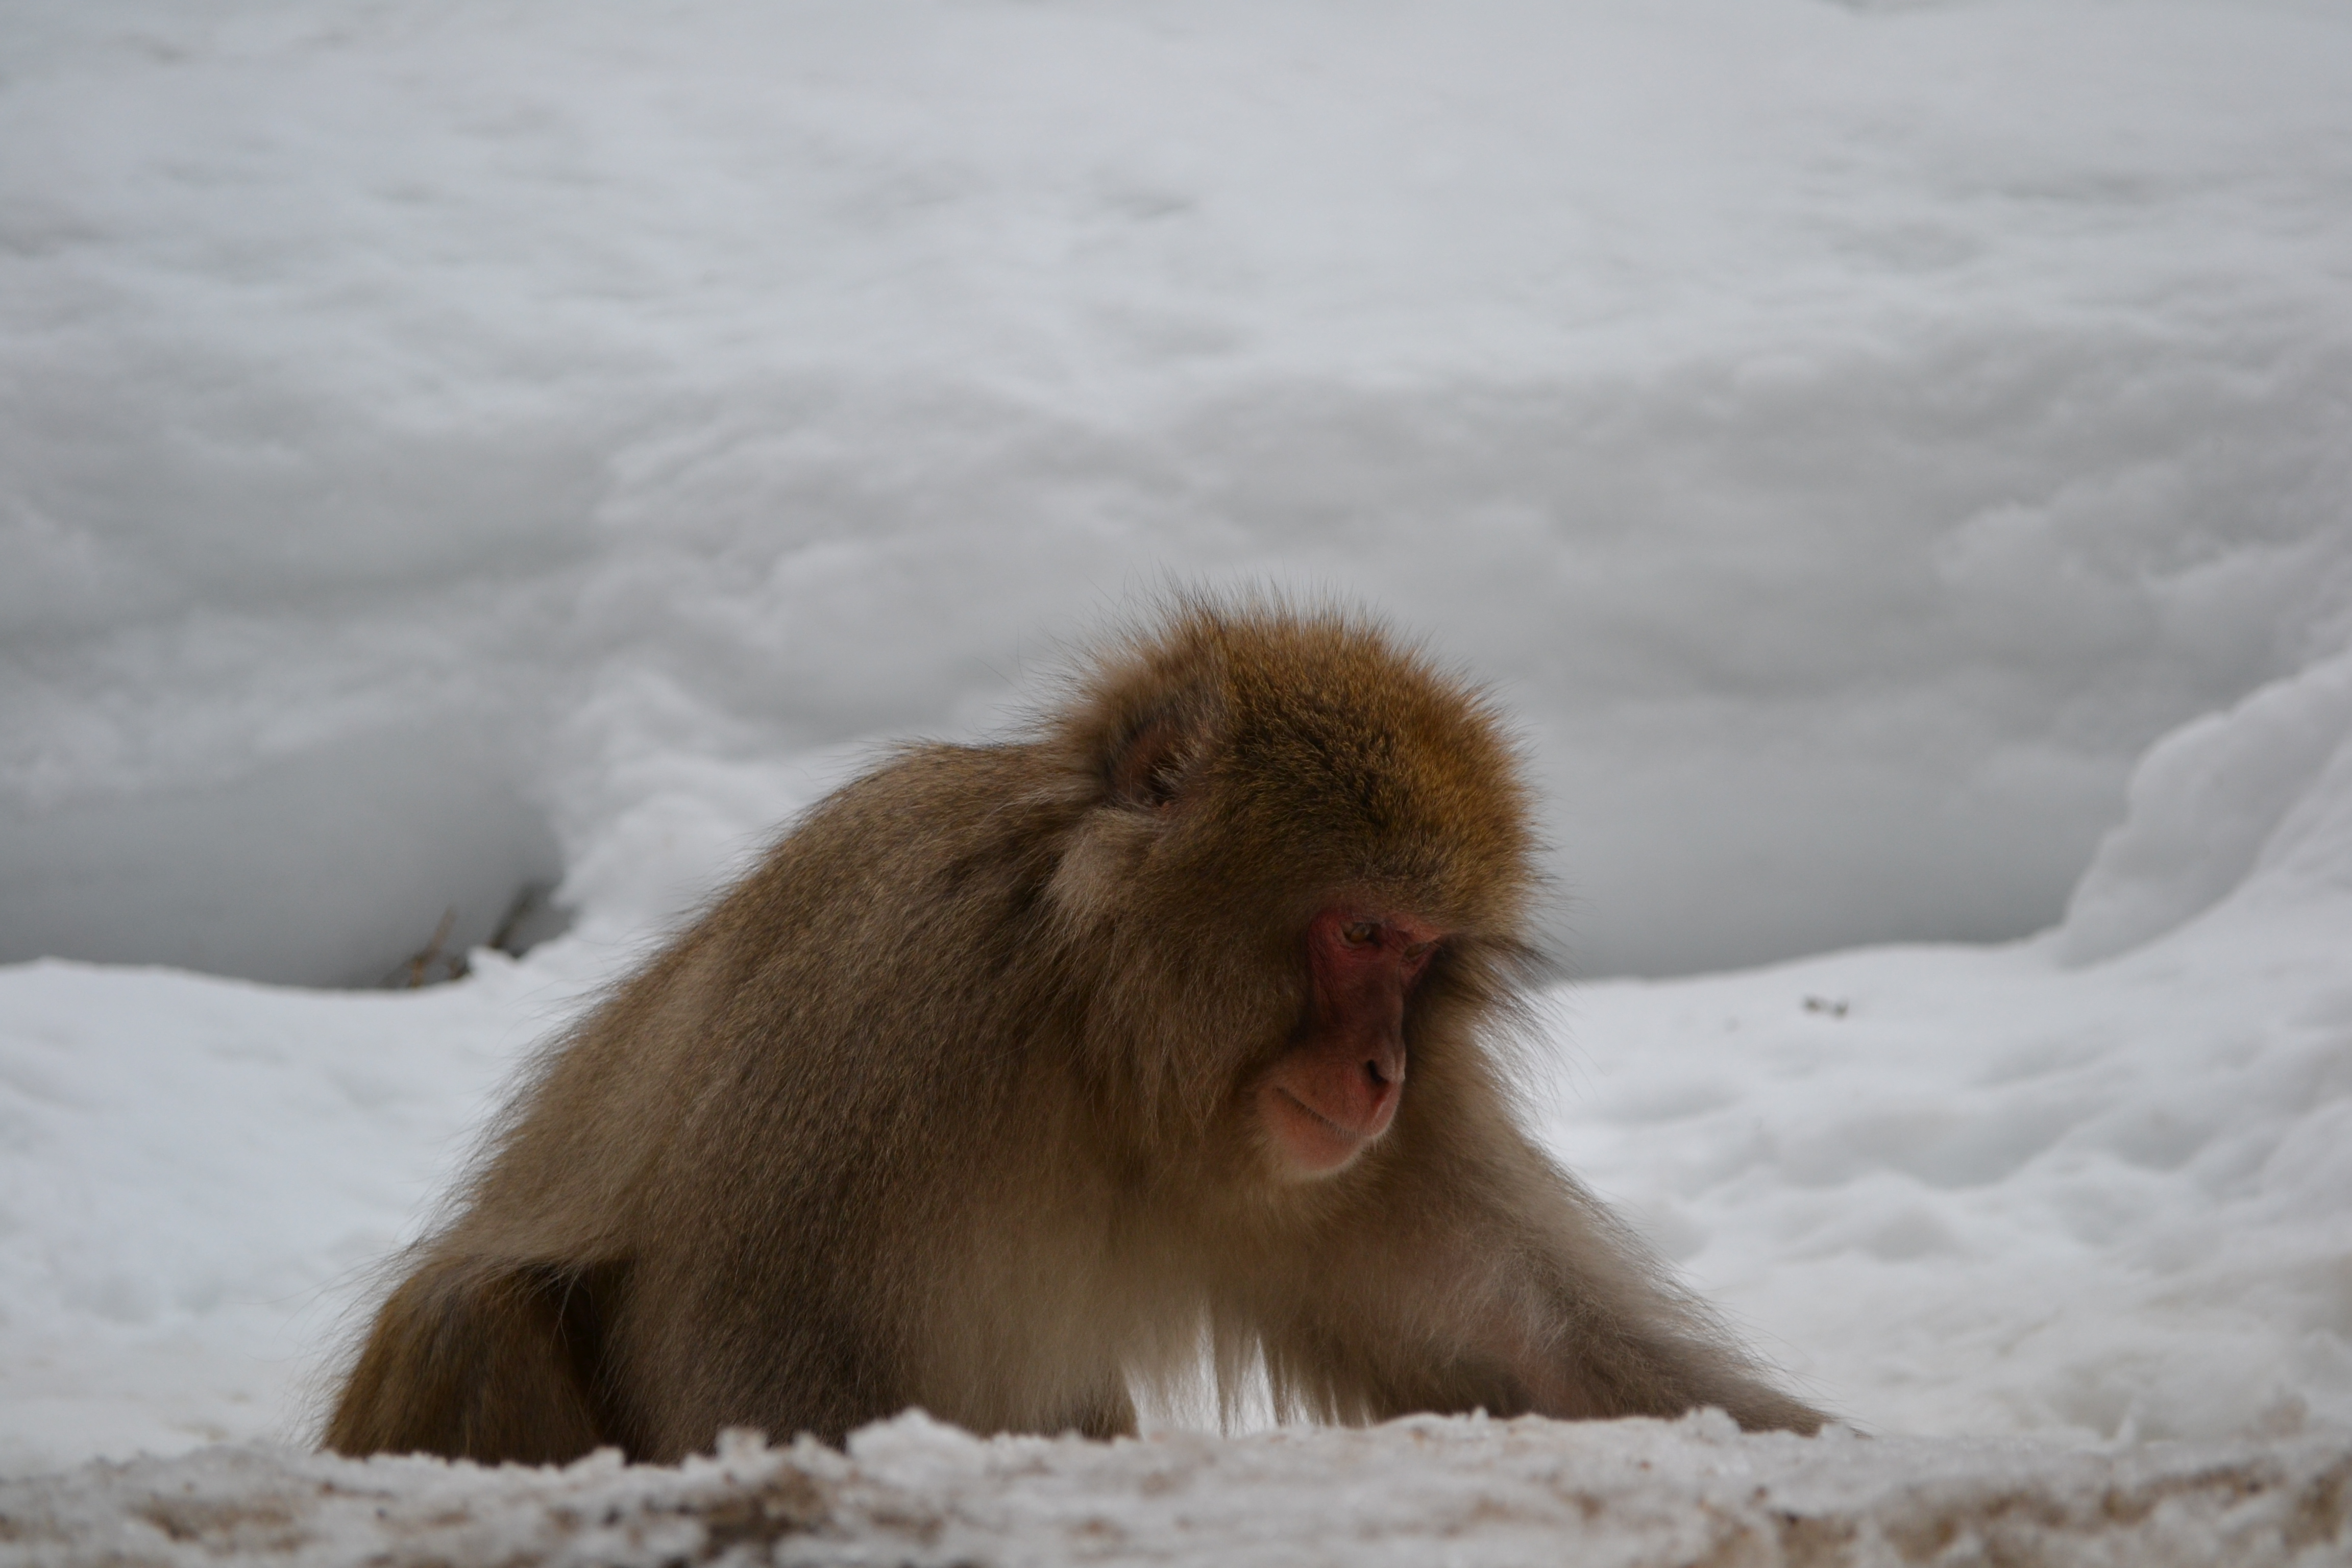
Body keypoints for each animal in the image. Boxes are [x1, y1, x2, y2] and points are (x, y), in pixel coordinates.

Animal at [322, 595, 1816, 1466]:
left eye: (1424, 956)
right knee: (471, 1317)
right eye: (1360, 934)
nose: (1386, 1067)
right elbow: (753, 1361)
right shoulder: (881, 1006)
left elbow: (1539, 1355)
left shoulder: (1363, 1155)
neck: (1098, 1042)